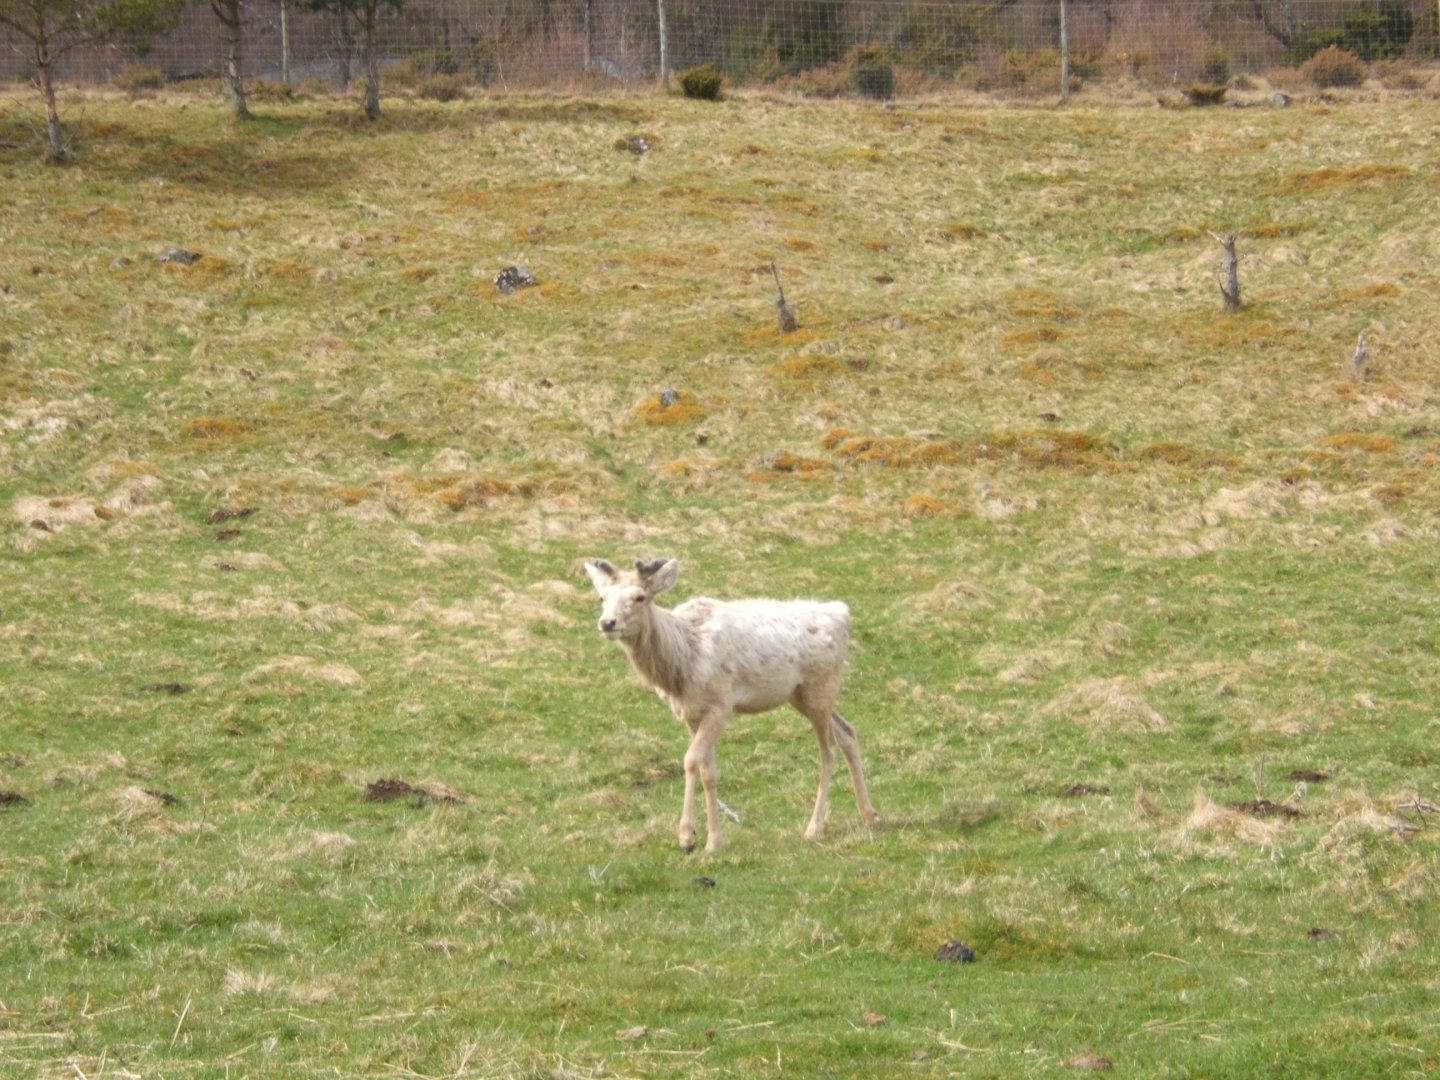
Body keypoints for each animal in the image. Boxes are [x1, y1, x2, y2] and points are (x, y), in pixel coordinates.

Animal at [583, 557, 879, 852]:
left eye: (640, 597)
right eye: (602, 597)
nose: (607, 622)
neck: (680, 665)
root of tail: (842, 612)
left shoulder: (721, 705)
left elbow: (691, 760)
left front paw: (687, 837)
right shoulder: (691, 713)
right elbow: (708, 771)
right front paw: (714, 840)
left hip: (821, 684)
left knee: (828, 748)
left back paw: (814, 827)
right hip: (800, 695)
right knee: (847, 731)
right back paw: (869, 814)